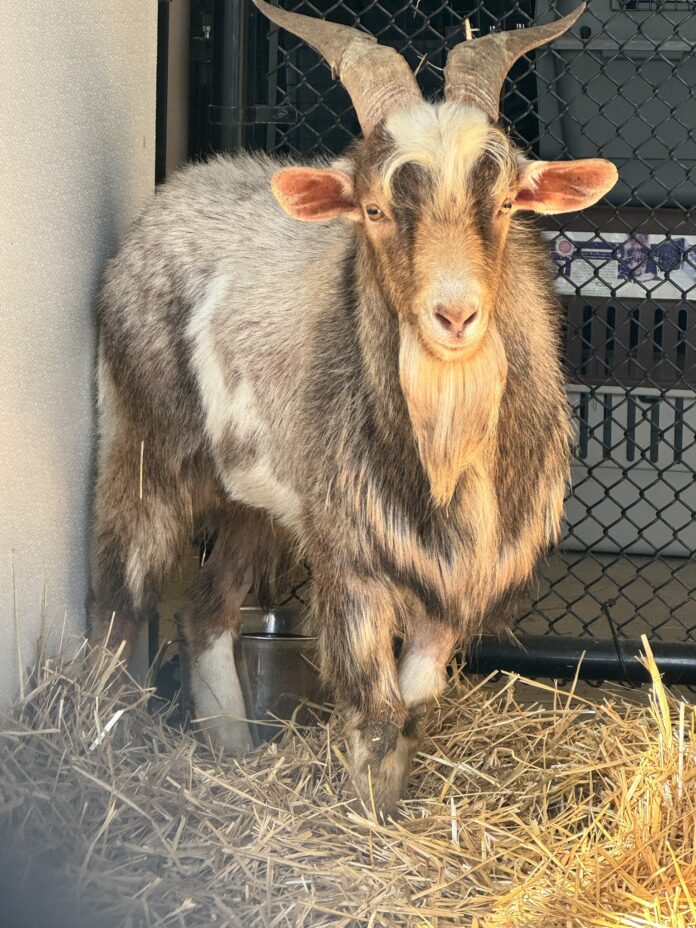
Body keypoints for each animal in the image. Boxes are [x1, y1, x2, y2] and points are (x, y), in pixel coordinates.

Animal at [90, 0, 617, 814]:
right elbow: (375, 711)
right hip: (145, 442)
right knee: (121, 586)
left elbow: (415, 706)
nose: (455, 316)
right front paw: (367, 816)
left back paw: (232, 745)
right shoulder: (352, 558)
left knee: (207, 607)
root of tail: (181, 188)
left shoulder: (450, 583)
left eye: (503, 204)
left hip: (262, 501)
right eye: (373, 208)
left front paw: (390, 813)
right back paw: (100, 740)